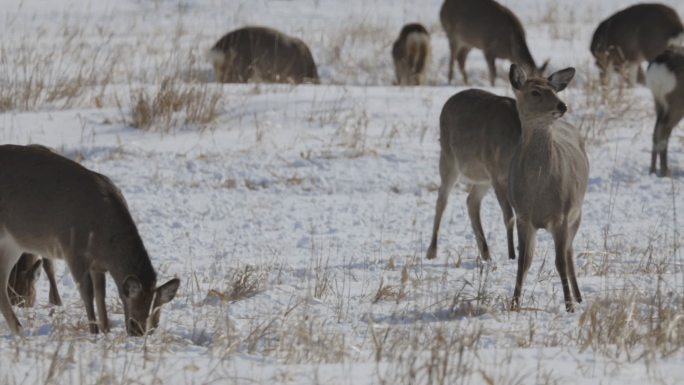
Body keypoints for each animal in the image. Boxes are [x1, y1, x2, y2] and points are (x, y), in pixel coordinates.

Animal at [0, 146, 179, 334]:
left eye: (156, 321)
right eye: (133, 319)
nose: (139, 332)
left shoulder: (97, 265)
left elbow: (101, 295)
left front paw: (106, 330)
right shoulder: (73, 250)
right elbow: (87, 293)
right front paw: (94, 331)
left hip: (13, 243)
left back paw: (18, 330)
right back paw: (19, 329)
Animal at [508, 64, 588, 312]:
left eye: (554, 90)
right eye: (535, 92)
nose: (562, 106)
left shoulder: (561, 214)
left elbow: (560, 261)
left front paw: (569, 306)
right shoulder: (522, 215)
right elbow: (523, 262)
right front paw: (514, 304)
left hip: (577, 213)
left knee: (569, 253)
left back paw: (578, 297)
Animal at [648, 47, 684, 177]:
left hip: (658, 102)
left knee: (656, 131)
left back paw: (653, 170)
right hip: (676, 106)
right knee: (663, 130)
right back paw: (665, 171)